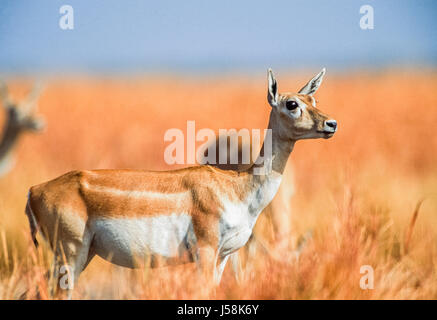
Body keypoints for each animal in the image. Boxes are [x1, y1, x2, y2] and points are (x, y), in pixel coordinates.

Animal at [24, 67, 338, 298]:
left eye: (314, 100)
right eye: (292, 103)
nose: (331, 124)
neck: (238, 188)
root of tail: (34, 190)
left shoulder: (223, 257)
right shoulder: (206, 252)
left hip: (82, 255)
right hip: (70, 254)